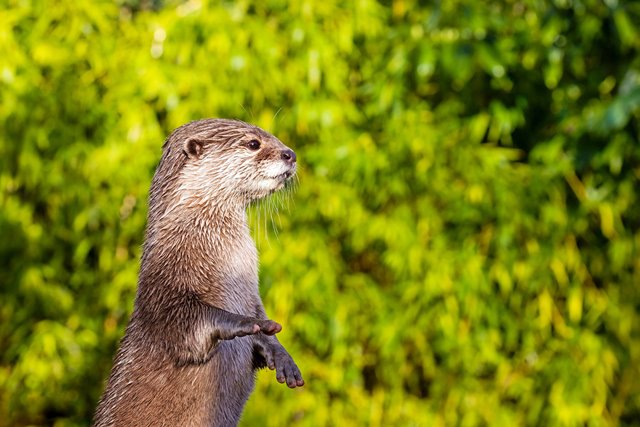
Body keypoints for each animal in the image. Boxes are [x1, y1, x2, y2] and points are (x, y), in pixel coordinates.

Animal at [93, 119, 304, 427]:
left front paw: (281, 355)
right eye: (254, 143)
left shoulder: (252, 294)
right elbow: (182, 321)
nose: (291, 154)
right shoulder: (161, 283)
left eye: (273, 136)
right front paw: (244, 323)